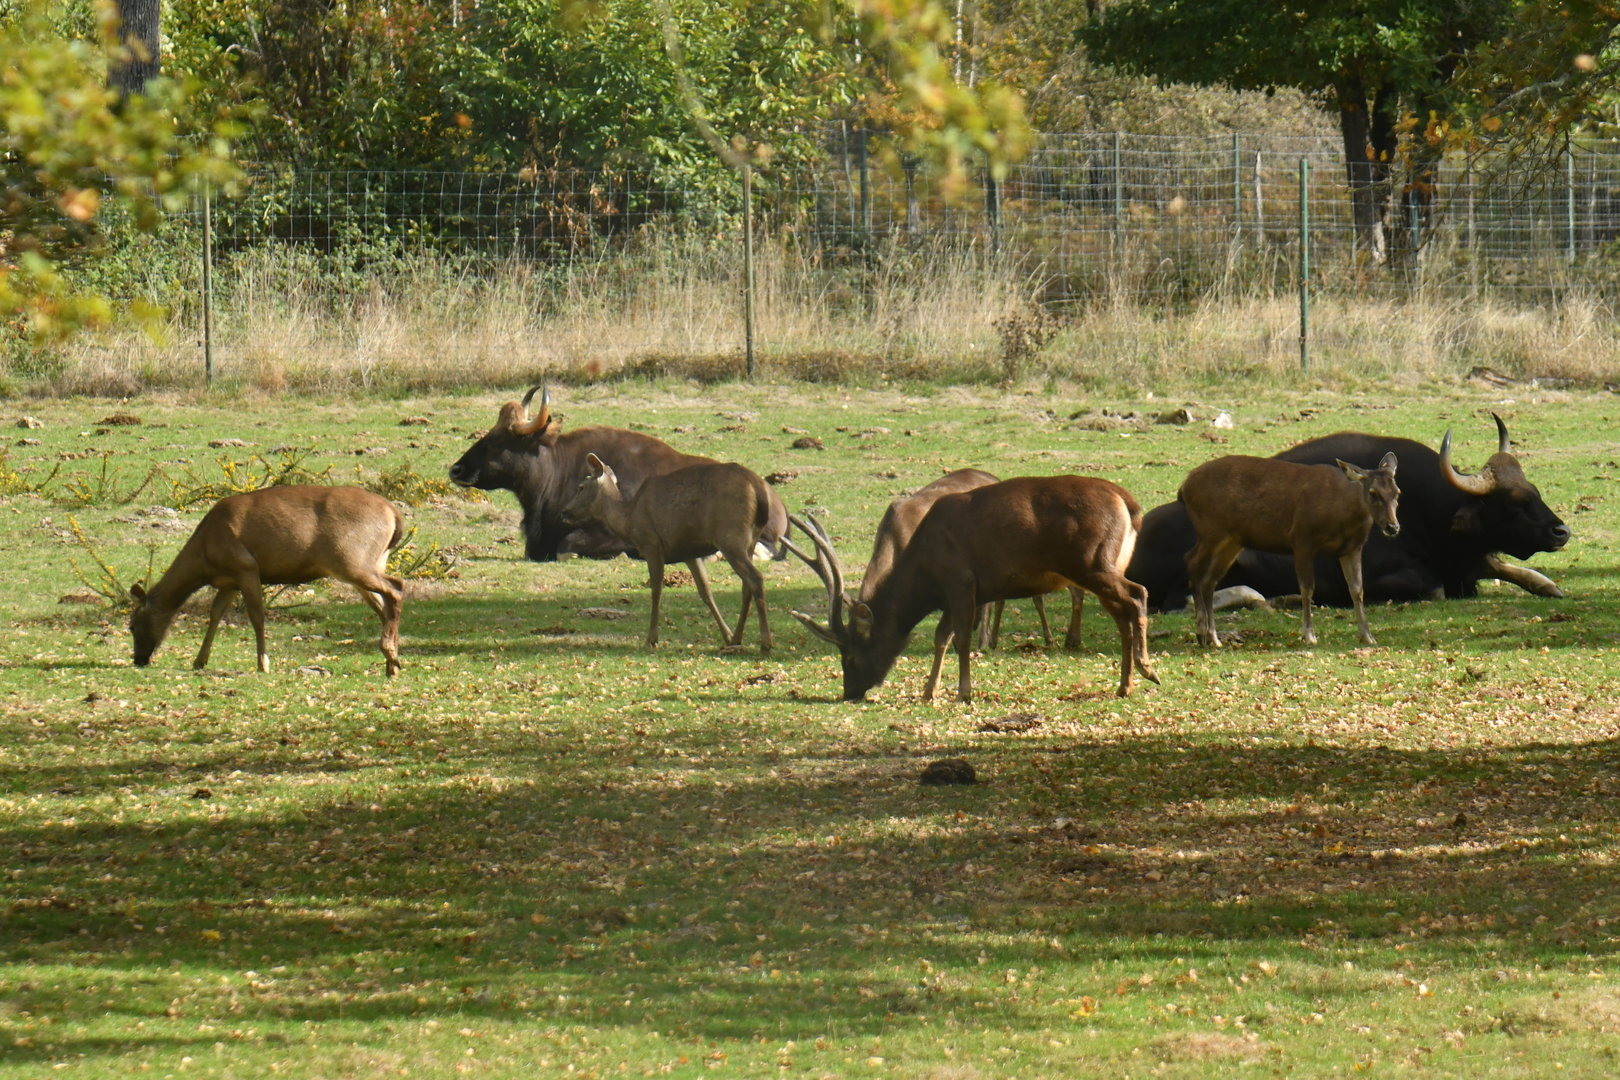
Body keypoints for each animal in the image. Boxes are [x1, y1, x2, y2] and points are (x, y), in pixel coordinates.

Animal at [129, 485, 406, 676]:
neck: (204, 558)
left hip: (352, 560)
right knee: (384, 604)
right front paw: (199, 660)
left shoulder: (246, 566)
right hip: (374, 560)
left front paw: (263, 663)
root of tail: (394, 514)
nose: (138, 659)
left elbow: (257, 616)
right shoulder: (229, 581)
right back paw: (392, 664)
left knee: (396, 588)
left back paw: (390, 654)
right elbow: (215, 613)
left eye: (132, 625)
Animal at [562, 453, 775, 653]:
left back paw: (765, 643)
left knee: (755, 578)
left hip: (730, 535)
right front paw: (727, 636)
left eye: (581, 487)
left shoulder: (651, 543)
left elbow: (656, 589)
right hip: (749, 539)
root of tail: (759, 490)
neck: (629, 520)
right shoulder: (689, 552)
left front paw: (651, 639)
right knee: (746, 585)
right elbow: (705, 591)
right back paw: (737, 638)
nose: (565, 511)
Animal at [1179, 452, 1400, 648]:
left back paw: (1213, 638)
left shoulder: (1352, 548)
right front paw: (1309, 636)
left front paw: (1367, 636)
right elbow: (1307, 588)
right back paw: (1201, 631)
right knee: (1191, 561)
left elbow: (1357, 590)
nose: (1393, 526)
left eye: (1397, 493)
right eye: (1373, 493)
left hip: (1231, 540)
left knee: (1209, 579)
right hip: (1210, 528)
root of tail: (1184, 486)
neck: (1340, 513)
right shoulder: (1301, 539)